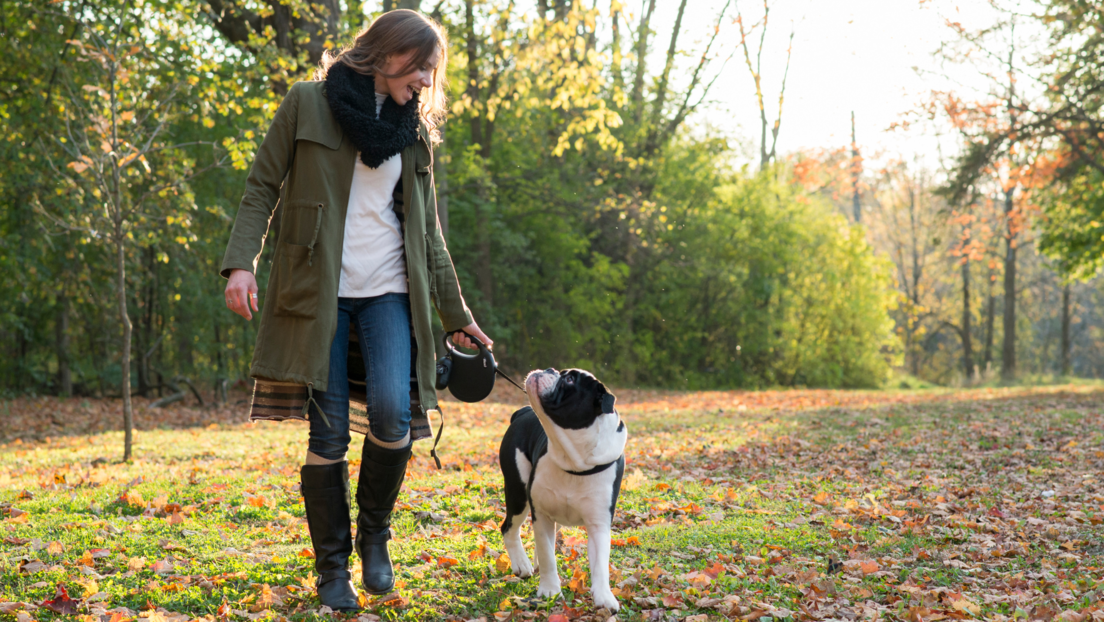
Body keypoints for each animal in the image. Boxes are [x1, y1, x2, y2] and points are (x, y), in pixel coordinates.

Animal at [501, 366, 631, 609]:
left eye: (570, 379)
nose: (549, 369)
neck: (575, 461)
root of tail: (523, 412)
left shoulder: (598, 524)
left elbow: (600, 563)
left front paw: (604, 596)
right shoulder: (541, 514)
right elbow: (548, 555)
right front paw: (550, 590)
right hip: (518, 493)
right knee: (509, 528)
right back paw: (522, 564)